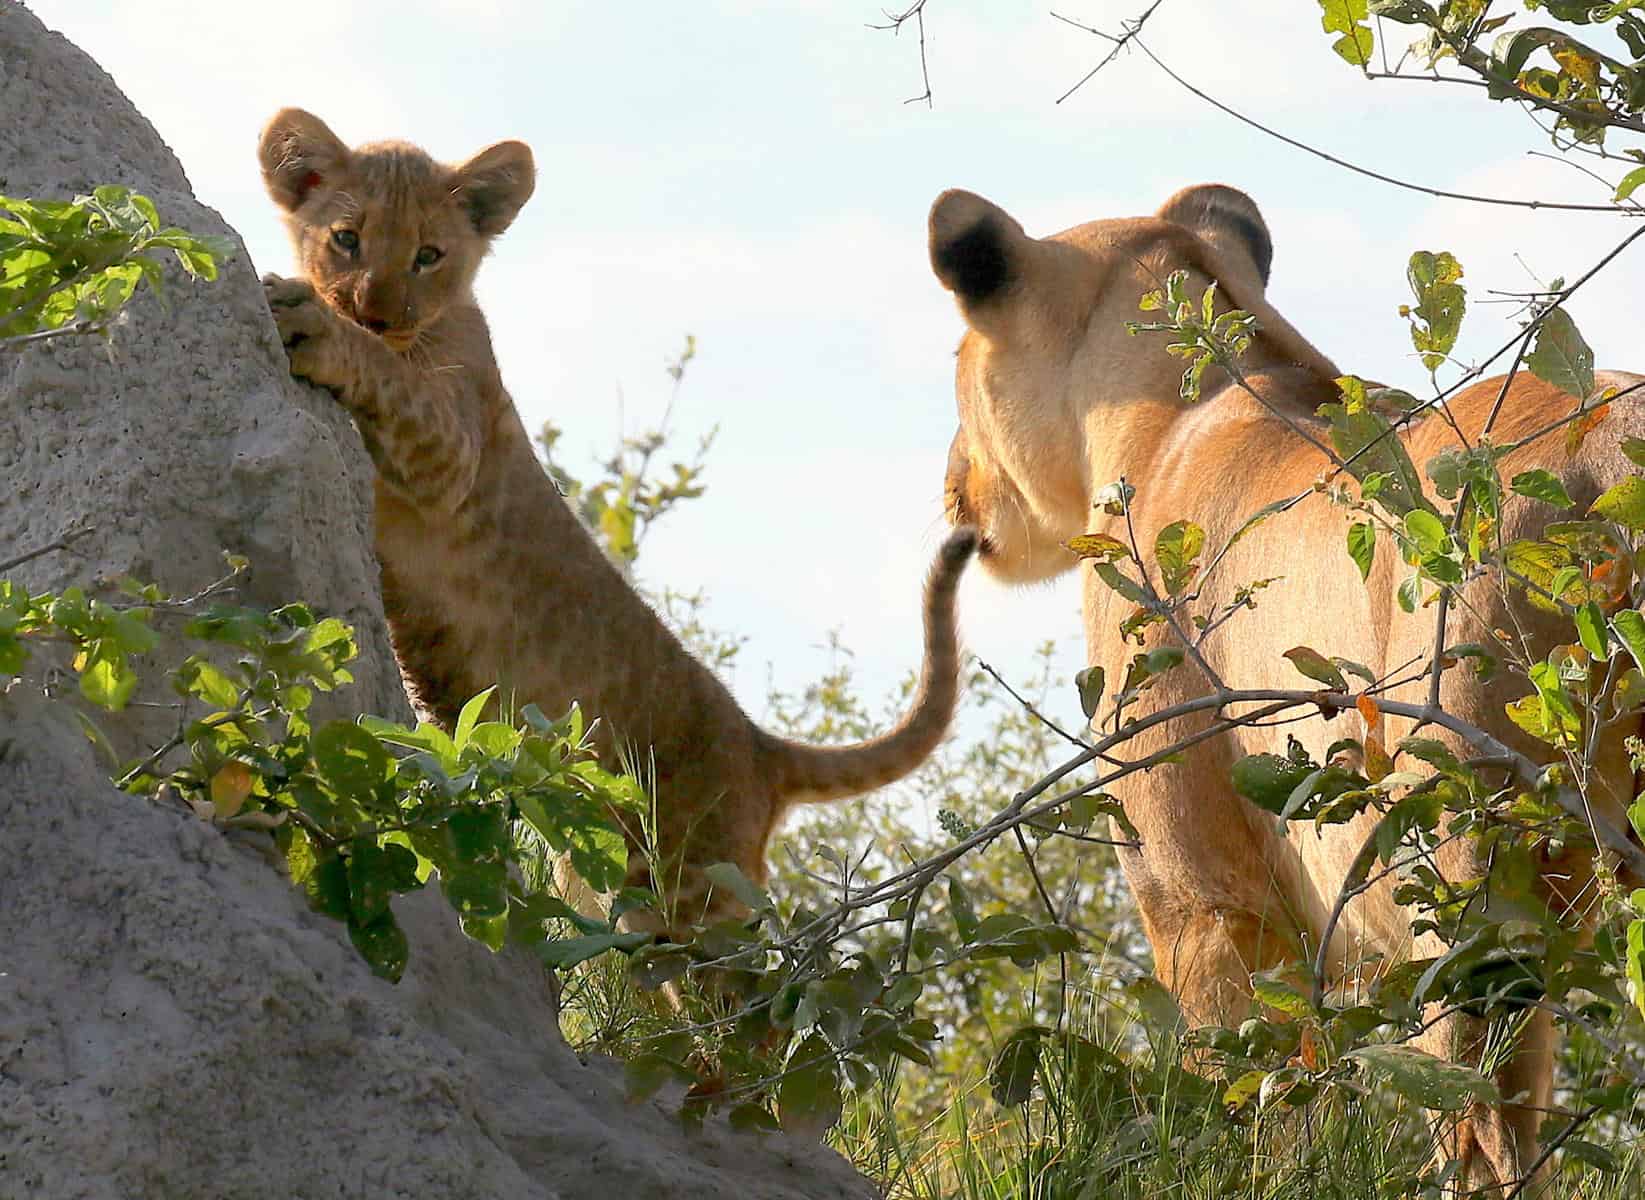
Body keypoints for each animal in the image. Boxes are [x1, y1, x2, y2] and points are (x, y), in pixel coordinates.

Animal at [256, 107, 977, 937]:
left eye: (428, 255)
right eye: (346, 238)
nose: (371, 310)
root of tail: (758, 746)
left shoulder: (452, 449)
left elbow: (386, 377)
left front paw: (313, 325)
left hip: (691, 890)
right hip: (602, 880)